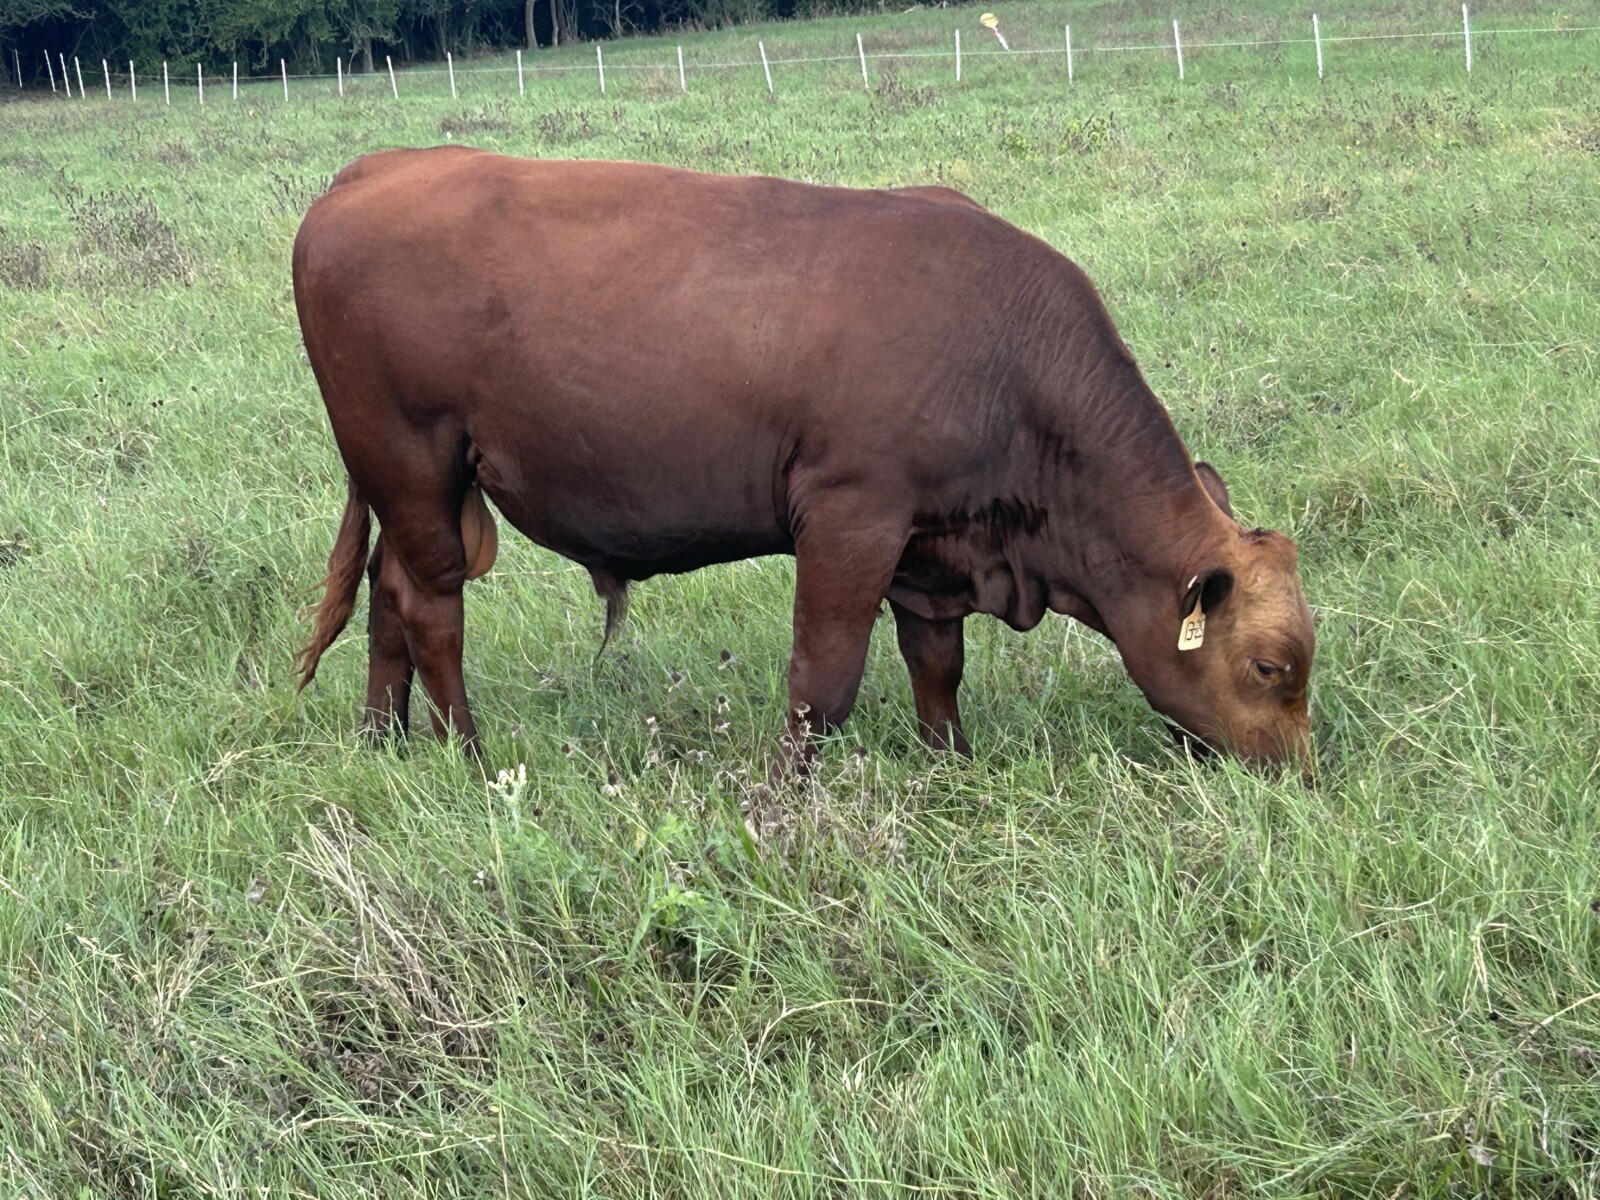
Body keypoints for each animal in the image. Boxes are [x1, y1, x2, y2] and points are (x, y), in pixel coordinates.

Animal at [292, 147, 1314, 775]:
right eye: (1271, 667)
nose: (1299, 776)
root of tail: (376, 168)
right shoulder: (851, 517)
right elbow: (824, 683)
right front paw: (787, 797)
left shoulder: (930, 548)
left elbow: (937, 666)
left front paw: (952, 767)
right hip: (413, 461)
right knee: (431, 609)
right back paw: (467, 755)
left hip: (405, 481)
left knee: (387, 594)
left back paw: (383, 741)